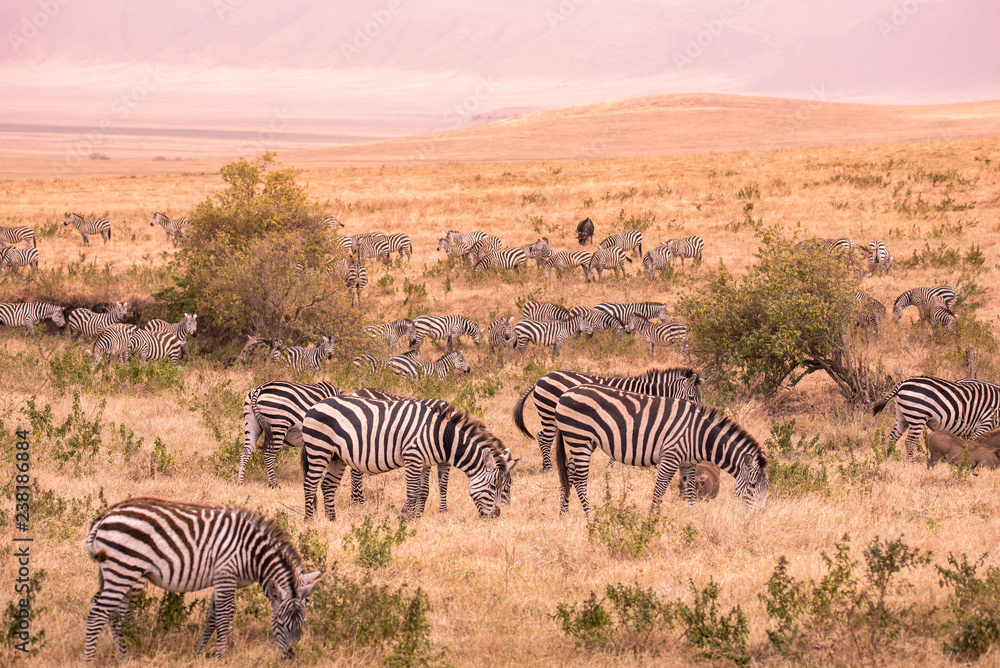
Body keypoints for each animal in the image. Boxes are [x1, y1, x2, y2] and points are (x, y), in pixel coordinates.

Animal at [84, 497, 322, 663]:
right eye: (280, 622)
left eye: (302, 624)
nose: (291, 658)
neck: (251, 553)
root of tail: (105, 515)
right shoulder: (226, 574)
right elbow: (224, 617)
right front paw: (222, 657)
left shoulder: (222, 579)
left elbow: (213, 617)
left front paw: (201, 652)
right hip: (124, 570)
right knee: (98, 613)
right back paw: (89, 660)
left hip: (118, 572)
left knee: (113, 613)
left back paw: (124, 657)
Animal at [301, 397, 514, 521]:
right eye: (494, 486)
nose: (496, 516)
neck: (439, 435)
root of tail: (315, 405)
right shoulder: (413, 457)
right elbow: (412, 492)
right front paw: (404, 517)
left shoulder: (424, 462)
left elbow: (422, 491)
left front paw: (414, 517)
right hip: (319, 448)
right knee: (310, 484)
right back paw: (309, 521)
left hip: (336, 456)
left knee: (327, 485)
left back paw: (332, 520)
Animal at [513, 367, 707, 470]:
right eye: (691, 398)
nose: (698, 417)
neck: (648, 393)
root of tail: (542, 378)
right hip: (549, 414)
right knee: (544, 438)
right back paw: (548, 467)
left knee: (542, 437)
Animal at [553, 385, 768, 515]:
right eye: (752, 486)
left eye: (766, 487)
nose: (759, 514)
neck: (698, 434)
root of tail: (566, 393)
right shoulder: (671, 457)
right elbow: (659, 490)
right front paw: (651, 520)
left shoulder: (688, 464)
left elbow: (691, 491)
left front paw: (694, 518)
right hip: (579, 437)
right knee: (580, 479)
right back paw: (590, 516)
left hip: (585, 441)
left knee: (568, 473)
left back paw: (564, 513)